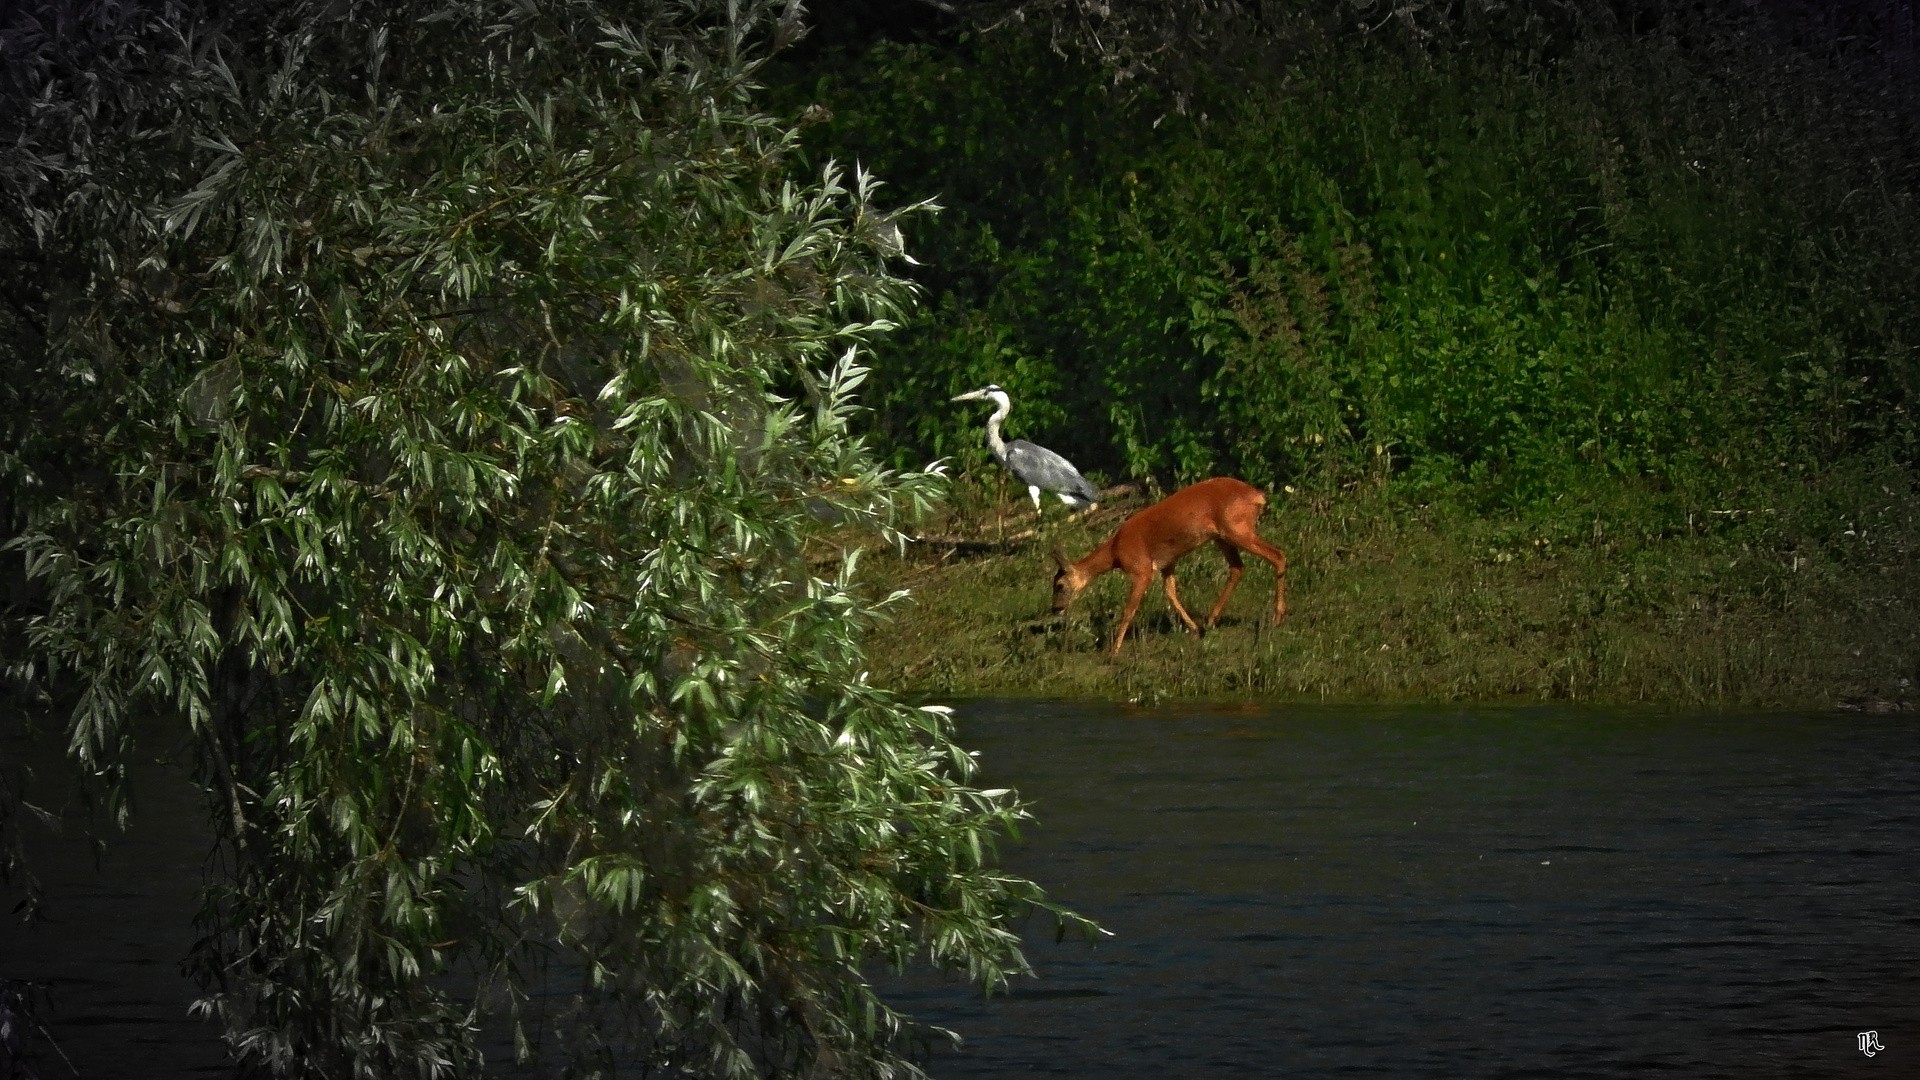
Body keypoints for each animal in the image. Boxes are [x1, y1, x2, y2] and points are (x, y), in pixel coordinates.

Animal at [1052, 474, 1290, 653]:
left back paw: (1278, 617)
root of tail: (1257, 495)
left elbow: (1129, 609)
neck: (1115, 552)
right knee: (1238, 567)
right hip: (1222, 537)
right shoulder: (1167, 562)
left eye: (1060, 585)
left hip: (1237, 530)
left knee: (1278, 554)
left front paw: (1113, 651)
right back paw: (1210, 619)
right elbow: (1171, 593)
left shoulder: (1141, 570)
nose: (1056, 608)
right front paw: (1195, 629)